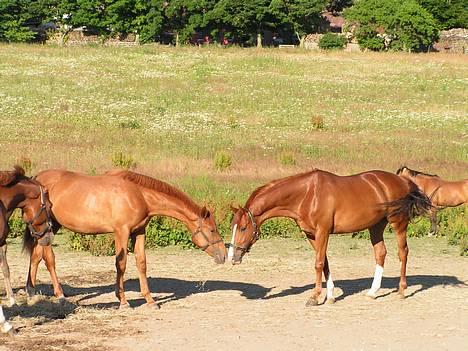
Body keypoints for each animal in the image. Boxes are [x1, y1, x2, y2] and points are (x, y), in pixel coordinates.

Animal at [23, 169, 227, 310]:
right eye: (212, 229)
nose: (224, 255)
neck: (138, 194)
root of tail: (37, 178)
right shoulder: (121, 231)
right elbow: (121, 264)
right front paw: (123, 301)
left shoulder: (139, 231)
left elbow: (141, 262)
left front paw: (150, 300)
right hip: (49, 228)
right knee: (48, 258)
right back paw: (60, 295)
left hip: (47, 229)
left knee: (36, 256)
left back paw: (31, 291)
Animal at [229, 169, 430, 306]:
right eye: (232, 227)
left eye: (243, 228)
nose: (232, 257)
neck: (307, 195)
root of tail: (403, 180)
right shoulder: (311, 235)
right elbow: (324, 262)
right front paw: (330, 295)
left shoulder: (323, 232)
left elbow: (318, 264)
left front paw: (314, 296)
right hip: (376, 226)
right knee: (380, 253)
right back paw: (373, 292)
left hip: (398, 223)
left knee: (403, 252)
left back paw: (402, 291)